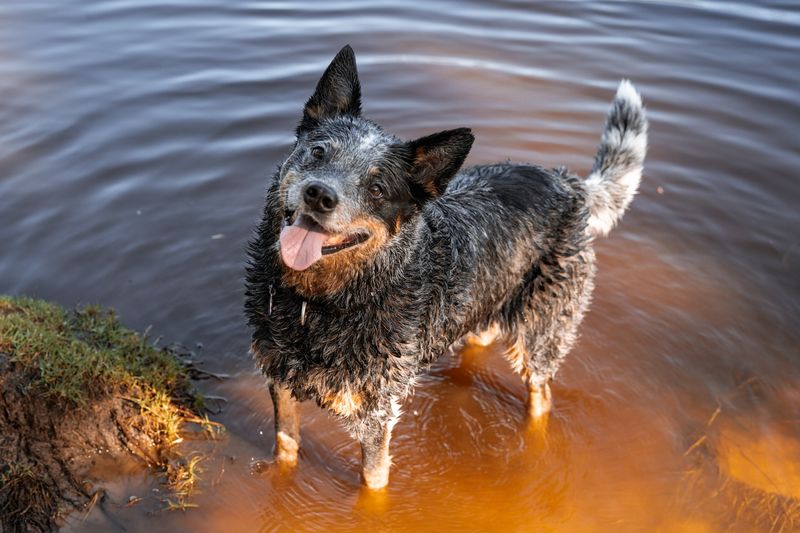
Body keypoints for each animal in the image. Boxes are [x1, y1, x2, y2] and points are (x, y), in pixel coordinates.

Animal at [245, 44, 648, 486]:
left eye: (377, 188)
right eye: (318, 152)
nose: (319, 194)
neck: (317, 306)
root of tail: (567, 183)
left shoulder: (375, 414)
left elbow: (373, 482)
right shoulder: (279, 378)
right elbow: (285, 448)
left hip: (541, 332)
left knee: (541, 396)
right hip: (480, 304)